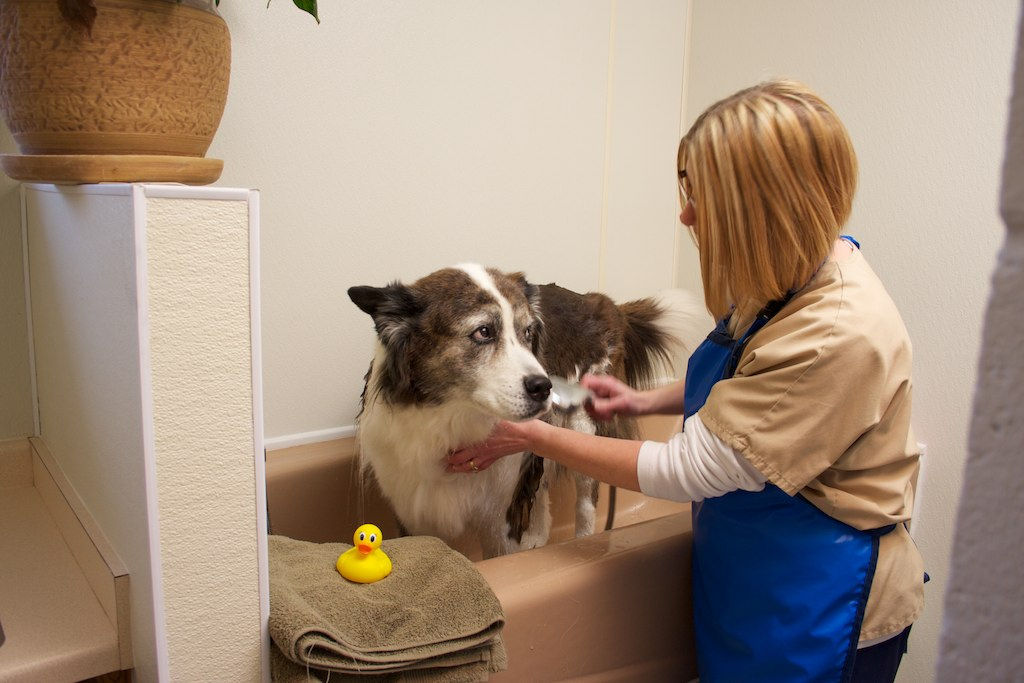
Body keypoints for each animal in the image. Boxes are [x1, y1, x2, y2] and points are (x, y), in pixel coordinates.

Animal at [348, 264, 700, 557]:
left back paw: (584, 542)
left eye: (528, 332)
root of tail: (601, 303)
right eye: (483, 331)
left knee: (585, 504)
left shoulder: (501, 518)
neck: (451, 421)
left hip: (583, 427)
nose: (544, 387)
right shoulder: (414, 512)